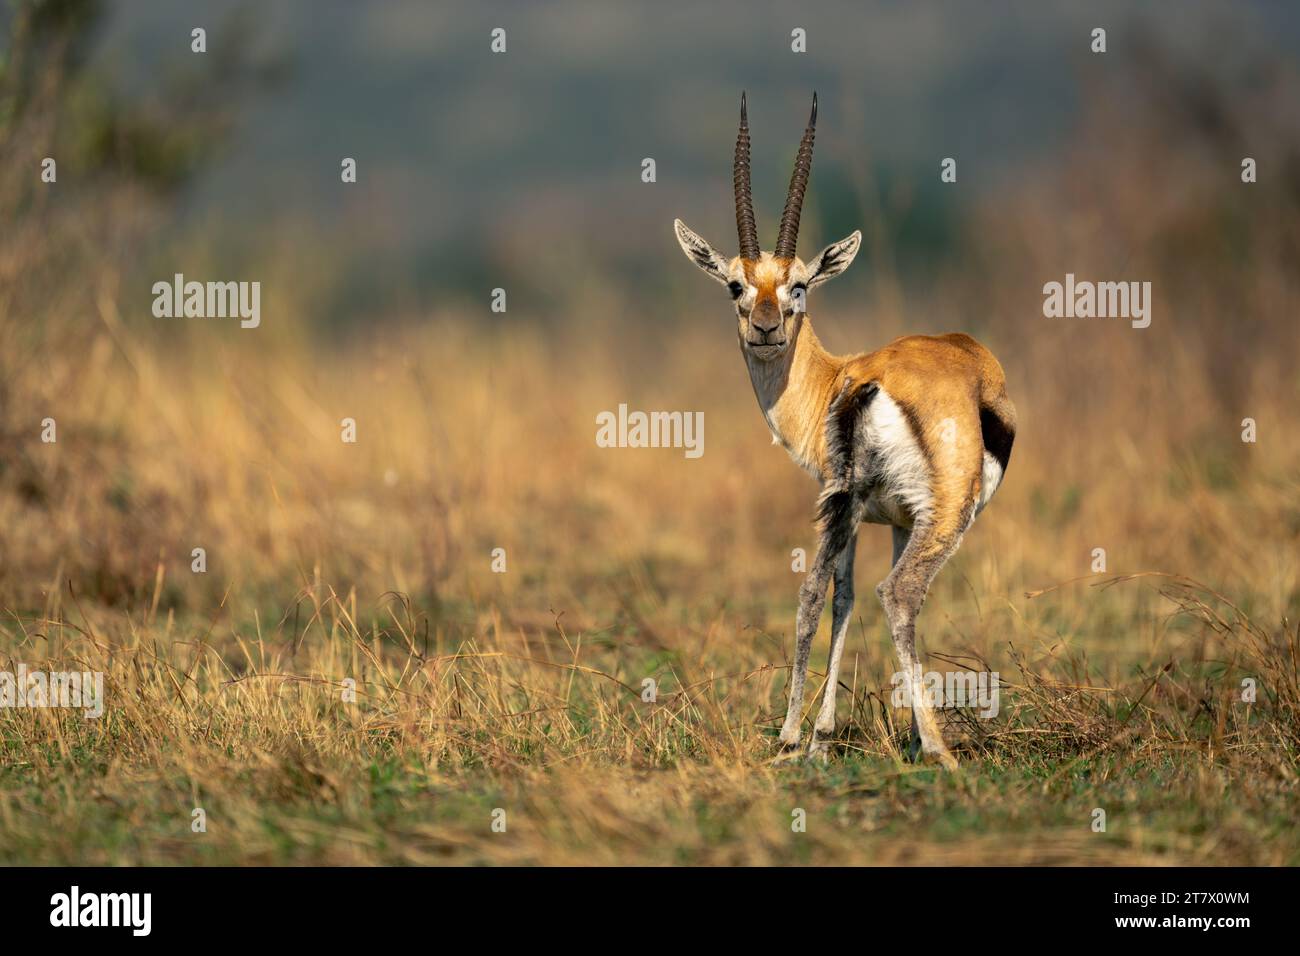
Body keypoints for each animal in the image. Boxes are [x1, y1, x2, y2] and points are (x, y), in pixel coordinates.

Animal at [673, 94, 1016, 767]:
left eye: (799, 285)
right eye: (735, 285)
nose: (766, 328)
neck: (835, 375)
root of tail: (869, 381)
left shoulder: (872, 512)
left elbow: (837, 597)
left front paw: (820, 737)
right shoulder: (893, 516)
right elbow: (860, 596)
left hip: (858, 505)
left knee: (818, 595)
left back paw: (790, 738)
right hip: (944, 515)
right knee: (899, 594)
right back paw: (941, 750)